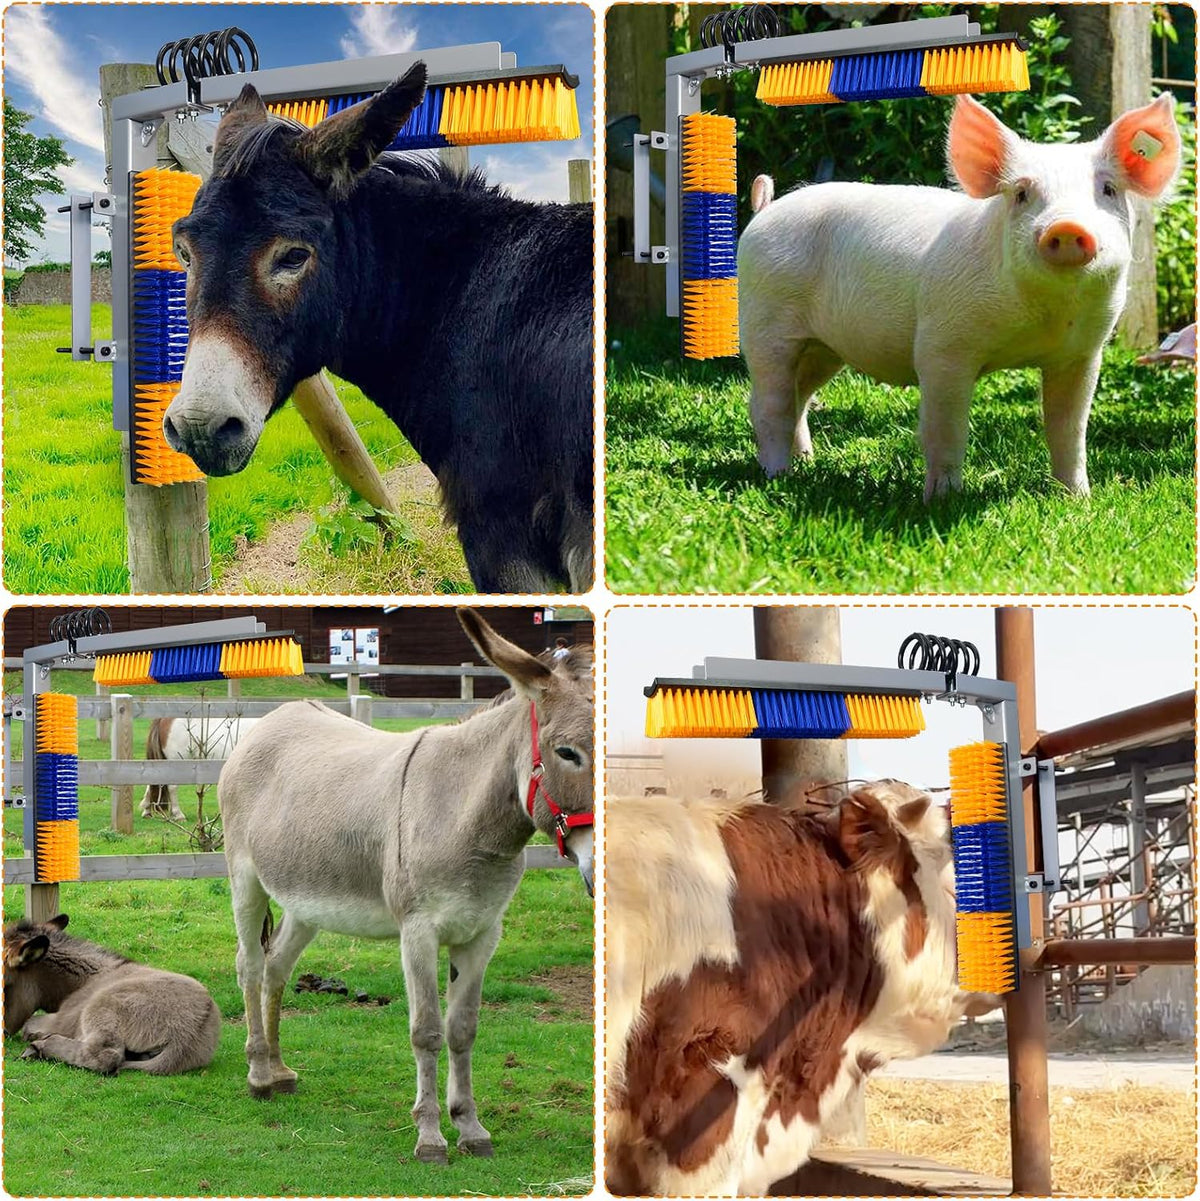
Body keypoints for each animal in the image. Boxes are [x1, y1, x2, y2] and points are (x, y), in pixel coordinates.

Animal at [3, 914, 220, 1076]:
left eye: (5, 986)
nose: (4, 1033)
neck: (87, 978)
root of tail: (187, 1037)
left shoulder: (62, 1020)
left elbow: (29, 1025)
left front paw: (36, 1037)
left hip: (101, 1010)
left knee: (106, 1056)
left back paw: (38, 1047)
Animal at [217, 608, 594, 1162]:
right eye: (568, 753)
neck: (465, 818)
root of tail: (274, 718)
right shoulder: (418, 932)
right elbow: (428, 1032)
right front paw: (431, 1136)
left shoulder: (483, 933)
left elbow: (463, 1029)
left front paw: (471, 1128)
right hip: (246, 880)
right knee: (248, 965)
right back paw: (259, 1073)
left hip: (306, 901)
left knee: (276, 965)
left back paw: (281, 1070)